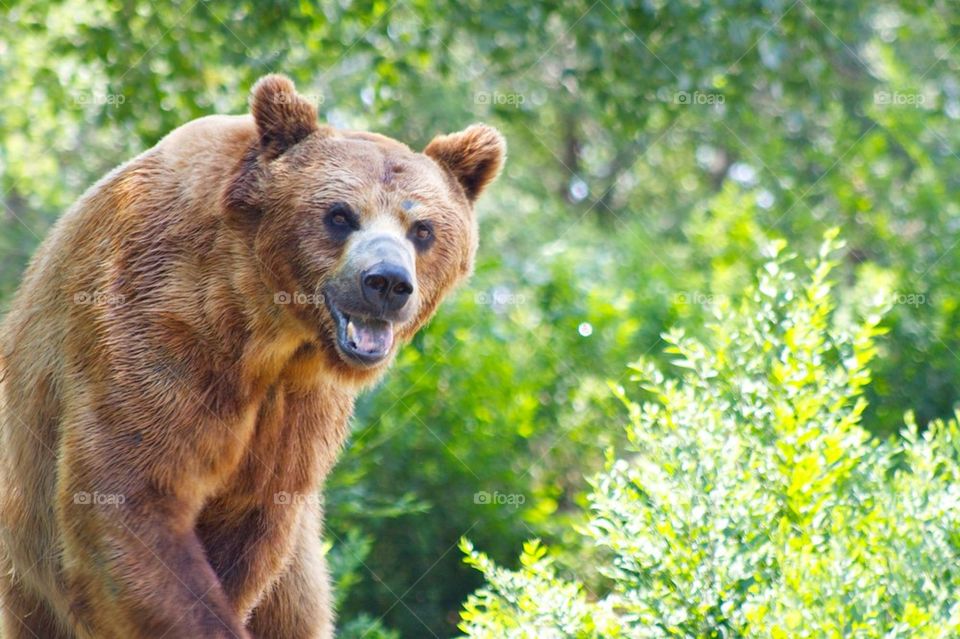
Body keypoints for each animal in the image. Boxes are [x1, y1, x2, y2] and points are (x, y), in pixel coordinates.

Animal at [0, 74, 505, 638]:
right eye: (340, 215)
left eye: (422, 229)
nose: (387, 283)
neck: (266, 328)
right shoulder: (155, 323)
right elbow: (130, 496)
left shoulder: (297, 411)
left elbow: (253, 519)